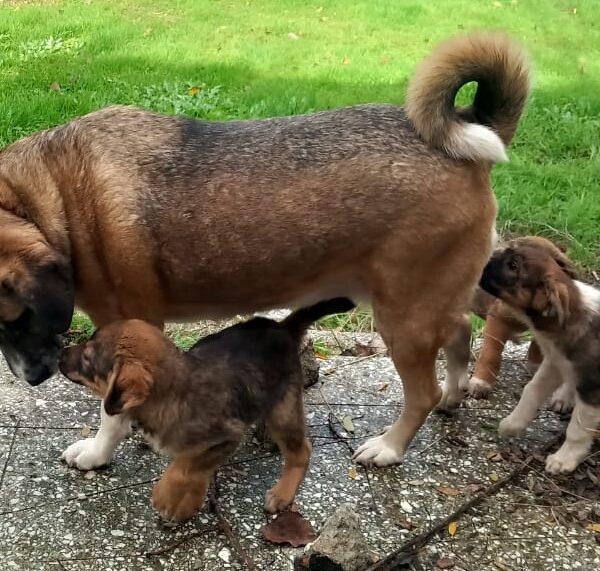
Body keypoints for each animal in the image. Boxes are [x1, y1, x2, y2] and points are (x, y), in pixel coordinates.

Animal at [0, 32, 530, 470]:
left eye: (19, 317)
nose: (33, 379)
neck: (52, 194)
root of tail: (468, 135)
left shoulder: (126, 332)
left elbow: (111, 414)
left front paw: (97, 452)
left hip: (404, 320)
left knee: (422, 391)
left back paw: (390, 447)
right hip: (431, 302)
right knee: (459, 333)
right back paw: (454, 397)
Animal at [59, 298, 355, 521]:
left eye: (88, 358)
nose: (60, 354)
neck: (173, 392)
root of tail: (283, 328)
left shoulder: (228, 435)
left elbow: (186, 465)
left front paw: (166, 496)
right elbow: (196, 468)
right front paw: (188, 503)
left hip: (283, 410)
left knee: (301, 450)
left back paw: (282, 493)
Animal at [479, 236, 600, 473]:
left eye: (513, 266)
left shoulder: (592, 388)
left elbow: (577, 429)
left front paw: (564, 459)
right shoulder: (555, 362)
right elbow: (531, 390)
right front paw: (513, 424)